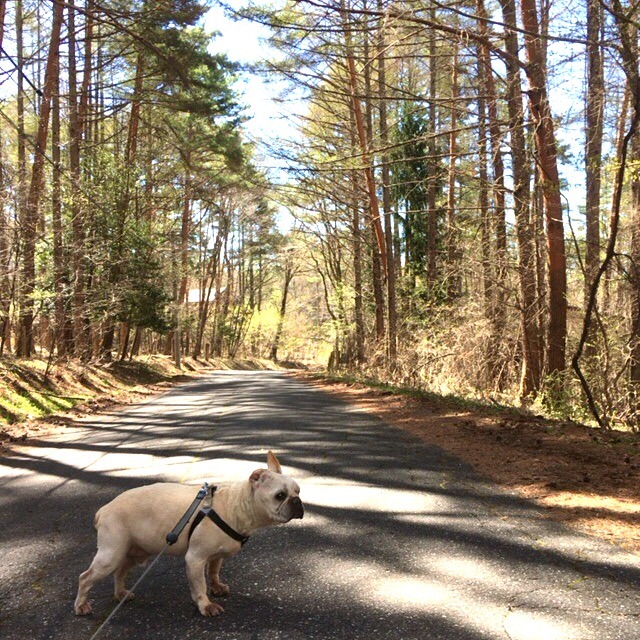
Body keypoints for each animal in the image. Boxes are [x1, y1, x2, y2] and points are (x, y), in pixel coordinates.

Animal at [74, 451, 303, 617]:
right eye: (279, 496)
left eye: (298, 491)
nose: (298, 502)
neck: (236, 505)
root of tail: (104, 509)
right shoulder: (195, 559)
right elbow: (199, 585)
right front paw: (206, 605)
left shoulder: (215, 557)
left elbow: (213, 572)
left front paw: (217, 587)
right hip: (111, 555)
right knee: (86, 578)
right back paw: (81, 606)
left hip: (133, 553)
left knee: (120, 572)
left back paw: (120, 593)